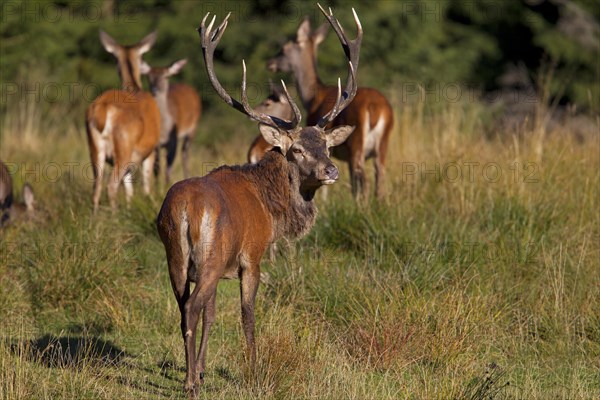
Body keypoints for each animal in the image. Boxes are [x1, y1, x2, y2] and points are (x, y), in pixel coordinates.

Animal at [156, 5, 360, 394]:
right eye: (296, 150)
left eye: (326, 146)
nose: (331, 170)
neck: (272, 210)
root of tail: (187, 210)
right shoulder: (251, 256)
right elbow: (247, 314)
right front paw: (253, 371)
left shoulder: (218, 268)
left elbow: (212, 315)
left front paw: (203, 369)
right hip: (210, 255)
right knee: (190, 309)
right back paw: (189, 385)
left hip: (177, 257)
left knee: (184, 307)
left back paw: (193, 377)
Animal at [268, 12, 394, 200]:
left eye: (283, 49)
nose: (270, 63)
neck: (312, 97)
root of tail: (375, 107)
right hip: (383, 144)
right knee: (380, 178)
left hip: (357, 143)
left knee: (364, 179)